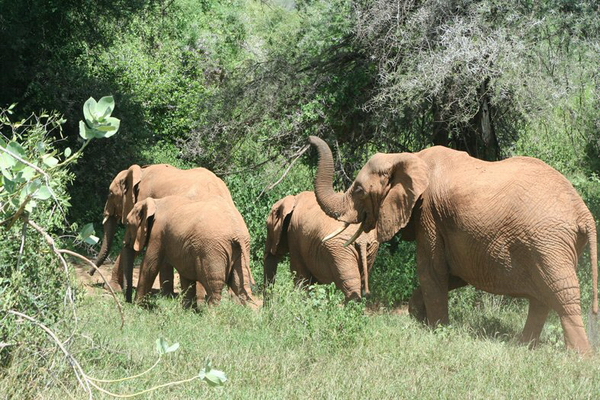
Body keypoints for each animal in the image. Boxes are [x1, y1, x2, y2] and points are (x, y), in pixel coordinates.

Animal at [89, 162, 234, 296]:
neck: (140, 171)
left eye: (110, 193)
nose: (90, 273)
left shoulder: (144, 197)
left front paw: (112, 289)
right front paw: (167, 295)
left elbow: (138, 246)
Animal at [120, 196, 254, 306]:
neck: (155, 202)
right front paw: (188, 311)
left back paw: (211, 317)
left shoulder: (158, 232)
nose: (127, 302)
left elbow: (149, 266)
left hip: (213, 250)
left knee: (214, 288)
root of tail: (237, 232)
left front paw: (137, 307)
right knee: (241, 286)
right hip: (240, 250)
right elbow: (186, 273)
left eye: (127, 223)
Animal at [312, 135, 596, 354]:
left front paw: (436, 330)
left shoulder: (428, 214)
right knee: (542, 297)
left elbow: (432, 272)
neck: (407, 158)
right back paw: (523, 346)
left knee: (561, 293)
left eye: (359, 190)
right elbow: (454, 274)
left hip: (549, 243)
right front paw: (419, 316)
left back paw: (580, 357)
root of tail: (584, 214)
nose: (310, 140)